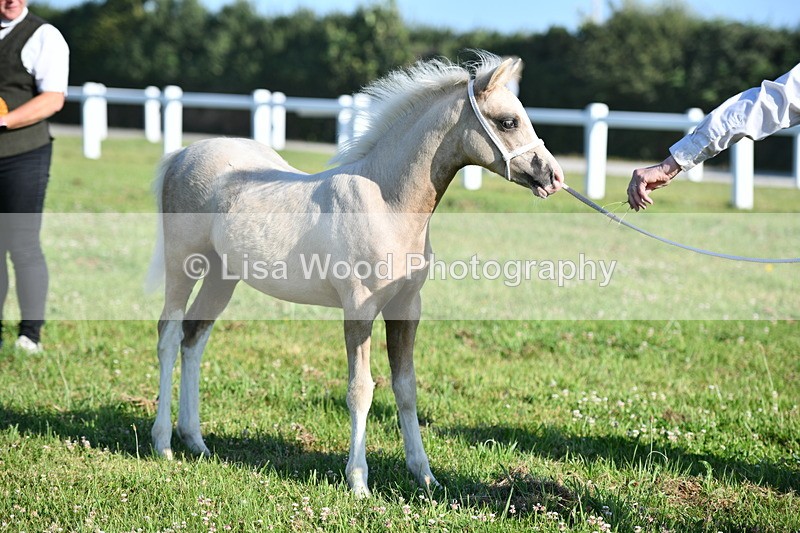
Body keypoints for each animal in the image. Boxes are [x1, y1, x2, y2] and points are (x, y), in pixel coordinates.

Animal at [148, 51, 564, 496]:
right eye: (508, 121)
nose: (553, 177)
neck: (387, 203)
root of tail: (183, 154)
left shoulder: (406, 308)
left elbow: (406, 388)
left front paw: (425, 475)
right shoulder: (359, 308)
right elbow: (361, 390)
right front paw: (359, 482)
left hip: (221, 275)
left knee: (194, 338)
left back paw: (195, 440)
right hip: (184, 265)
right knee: (169, 335)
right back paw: (163, 443)